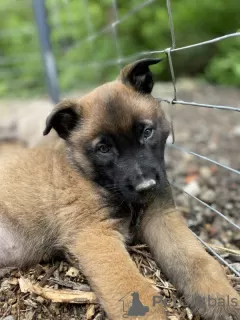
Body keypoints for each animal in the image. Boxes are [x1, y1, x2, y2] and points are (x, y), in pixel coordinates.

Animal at [0, 58, 240, 318]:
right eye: (103, 149)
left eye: (147, 132)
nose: (146, 186)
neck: (91, 177)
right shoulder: (96, 233)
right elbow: (132, 288)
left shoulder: (160, 215)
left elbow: (196, 260)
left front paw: (220, 297)